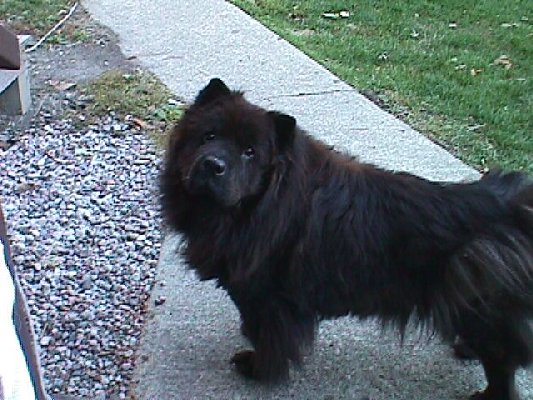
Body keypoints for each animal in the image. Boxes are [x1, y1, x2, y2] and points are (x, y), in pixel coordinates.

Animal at [162, 79, 532, 400]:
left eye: (250, 152)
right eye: (209, 136)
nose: (213, 164)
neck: (254, 208)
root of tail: (509, 207)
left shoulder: (270, 297)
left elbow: (270, 340)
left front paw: (256, 368)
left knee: (502, 365)